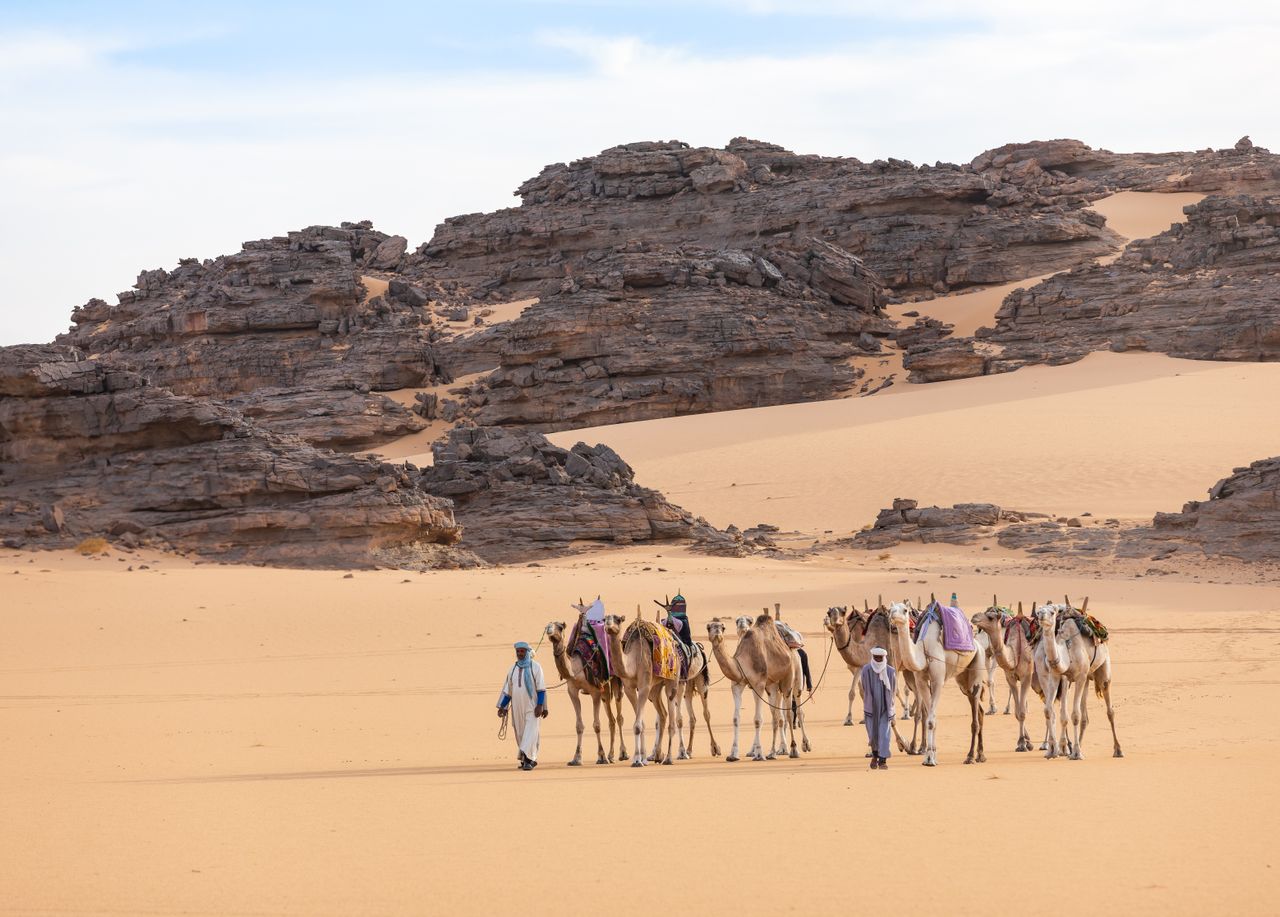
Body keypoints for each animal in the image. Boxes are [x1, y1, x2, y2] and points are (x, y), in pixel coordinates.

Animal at [544, 618, 627, 765]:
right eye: (547, 626)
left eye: (560, 627)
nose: (549, 630)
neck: (576, 670)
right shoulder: (572, 691)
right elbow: (579, 726)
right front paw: (576, 758)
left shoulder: (595, 692)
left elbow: (597, 725)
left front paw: (601, 756)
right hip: (605, 690)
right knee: (611, 719)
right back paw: (611, 755)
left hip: (615, 680)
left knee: (619, 717)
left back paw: (622, 754)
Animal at [604, 610, 682, 767]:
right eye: (604, 619)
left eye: (618, 619)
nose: (608, 625)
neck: (633, 663)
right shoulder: (629, 688)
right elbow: (641, 724)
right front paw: (641, 758)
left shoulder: (644, 686)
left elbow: (638, 726)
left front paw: (638, 761)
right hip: (655, 687)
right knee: (662, 714)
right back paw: (657, 756)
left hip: (672, 679)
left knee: (671, 716)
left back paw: (668, 758)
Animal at [887, 599, 988, 766]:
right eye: (890, 609)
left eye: (905, 610)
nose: (893, 616)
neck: (923, 650)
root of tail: (978, 644)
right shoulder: (921, 681)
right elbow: (930, 717)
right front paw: (931, 754)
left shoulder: (938, 680)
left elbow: (930, 720)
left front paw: (929, 759)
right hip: (963, 680)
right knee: (979, 710)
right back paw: (981, 755)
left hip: (978, 663)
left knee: (975, 712)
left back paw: (970, 756)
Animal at [972, 599, 1038, 752]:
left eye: (990, 617)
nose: (974, 617)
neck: (1015, 652)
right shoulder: (1011, 678)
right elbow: (1018, 712)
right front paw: (1023, 742)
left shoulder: (1026, 677)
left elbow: (1022, 712)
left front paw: (1023, 743)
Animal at [1034, 598, 1123, 760]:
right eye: (1038, 611)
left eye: (1052, 612)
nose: (1041, 615)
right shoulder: (1056, 676)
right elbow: (1050, 711)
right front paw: (1052, 751)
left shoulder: (1079, 677)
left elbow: (1075, 715)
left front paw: (1076, 753)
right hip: (1086, 677)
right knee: (1083, 715)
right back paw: (1075, 746)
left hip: (1103, 667)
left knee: (1109, 708)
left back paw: (1117, 750)